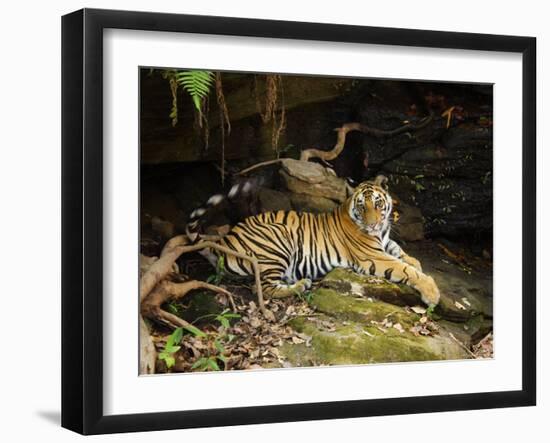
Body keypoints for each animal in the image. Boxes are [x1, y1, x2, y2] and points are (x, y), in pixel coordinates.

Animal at [188, 175, 442, 306]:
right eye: (362, 206)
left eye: (378, 204)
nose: (372, 225)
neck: (380, 232)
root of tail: (225, 240)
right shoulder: (372, 256)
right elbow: (406, 269)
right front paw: (431, 292)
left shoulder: (384, 242)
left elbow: (401, 252)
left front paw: (415, 261)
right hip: (278, 238)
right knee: (263, 288)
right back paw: (301, 285)